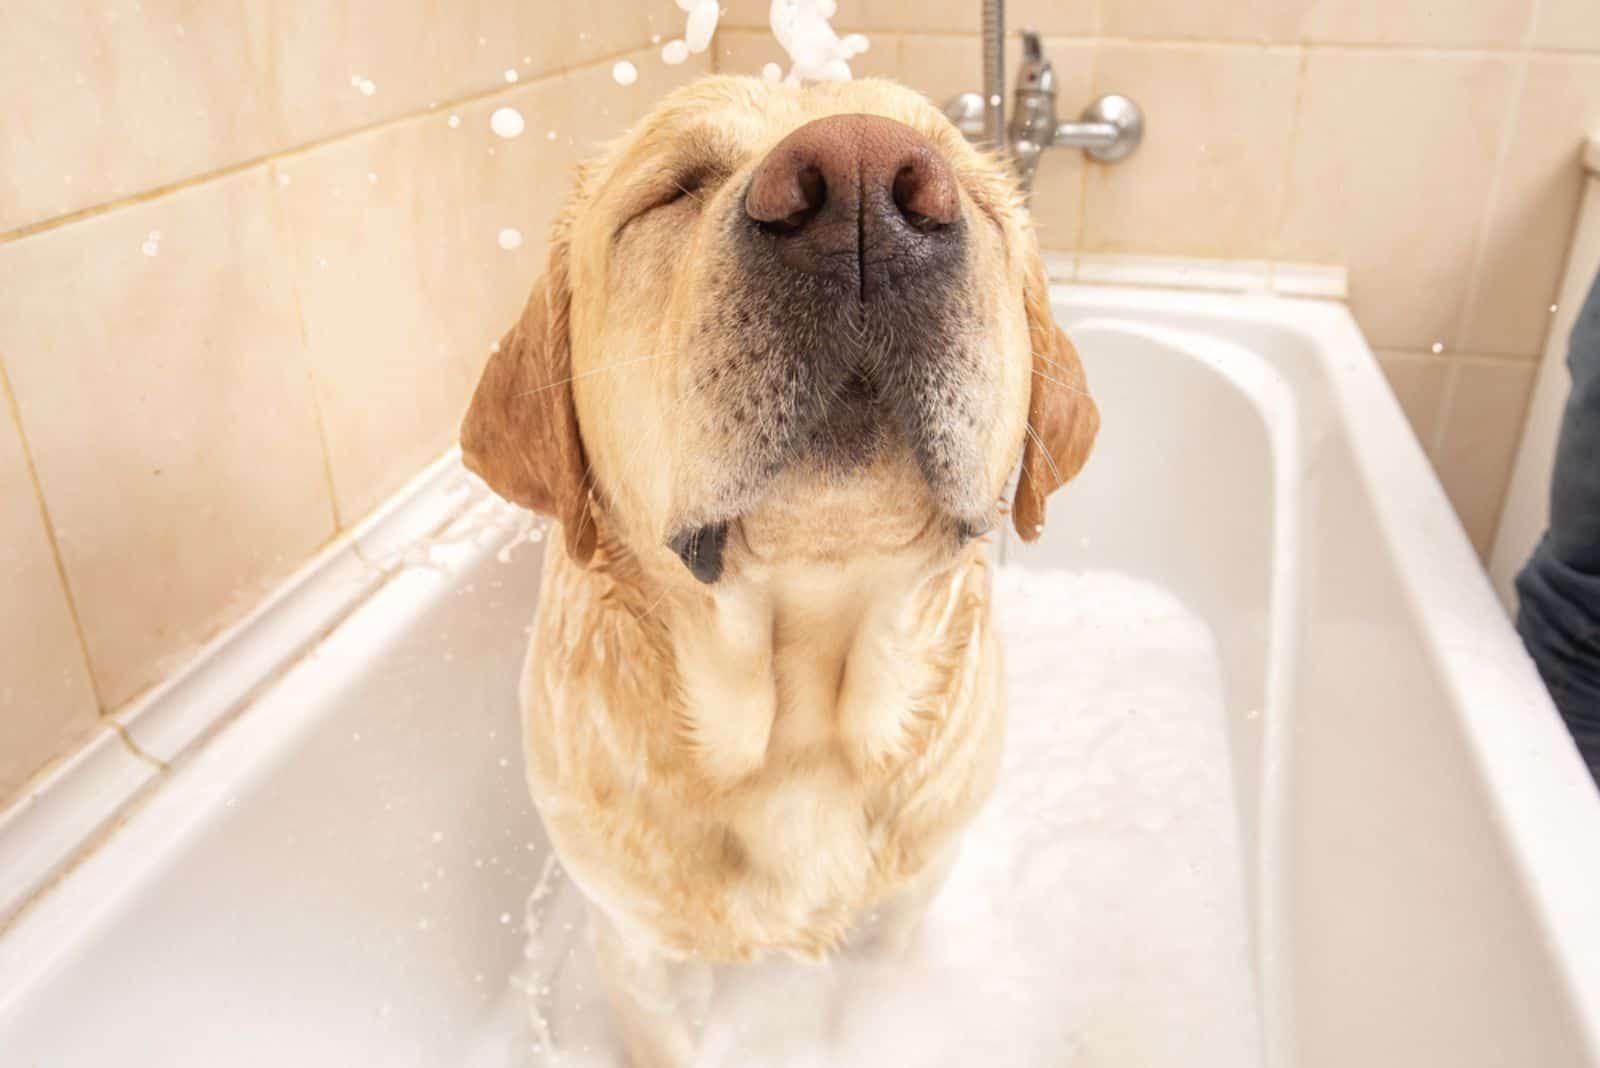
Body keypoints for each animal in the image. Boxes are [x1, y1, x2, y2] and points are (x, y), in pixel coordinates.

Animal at [457, 77, 1094, 1068]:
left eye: (977, 197)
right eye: (675, 189)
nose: (865, 181)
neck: (800, 726)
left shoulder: (908, 905)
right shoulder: (639, 953)